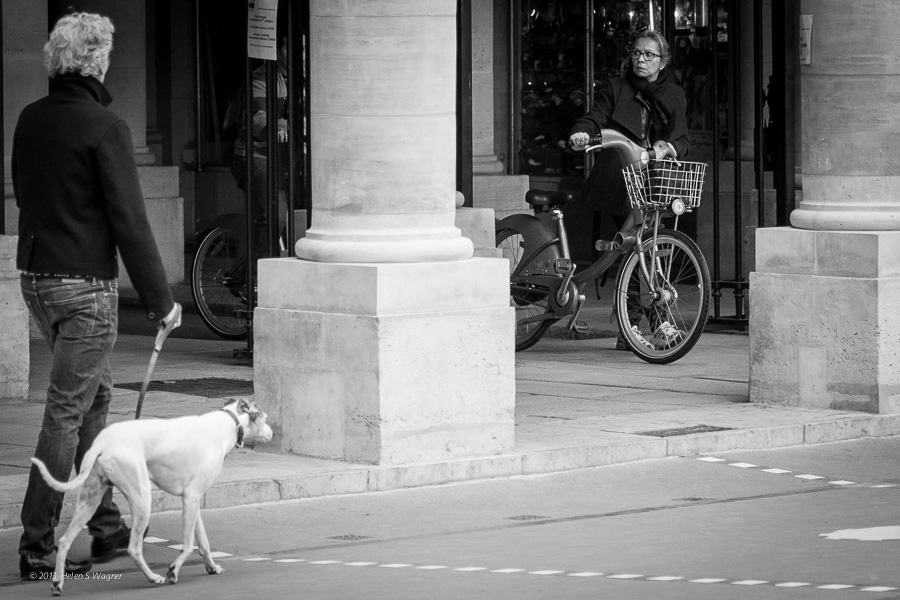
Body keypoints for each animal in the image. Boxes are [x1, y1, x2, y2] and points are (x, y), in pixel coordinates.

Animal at [31, 398, 272, 596]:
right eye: (265, 417)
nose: (272, 433)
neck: (225, 424)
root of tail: (102, 442)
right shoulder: (191, 496)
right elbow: (188, 545)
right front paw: (174, 571)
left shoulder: (193, 501)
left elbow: (203, 541)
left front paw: (212, 566)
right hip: (142, 499)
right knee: (134, 547)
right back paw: (153, 577)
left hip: (89, 501)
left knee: (64, 541)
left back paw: (57, 583)